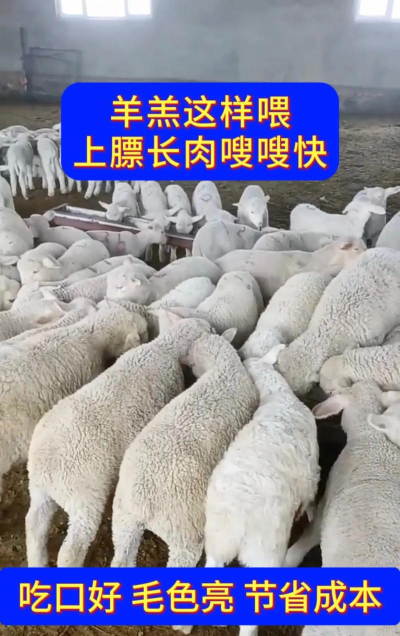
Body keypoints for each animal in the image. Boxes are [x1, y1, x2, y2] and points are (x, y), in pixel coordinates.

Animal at [26, 315, 213, 567]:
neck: (162, 348)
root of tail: (47, 465)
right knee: (70, 550)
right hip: (84, 500)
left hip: (39, 491)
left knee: (34, 526)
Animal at [204, 351, 319, 636]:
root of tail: (237, 527)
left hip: (216, 538)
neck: (277, 395)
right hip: (265, 553)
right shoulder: (312, 475)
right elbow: (311, 500)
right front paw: (311, 514)